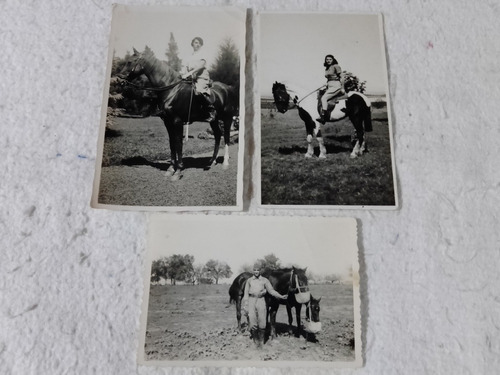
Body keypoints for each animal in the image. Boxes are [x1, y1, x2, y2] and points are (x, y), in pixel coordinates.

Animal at [120, 48, 238, 181]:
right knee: (218, 136)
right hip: (214, 120)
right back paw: (212, 161)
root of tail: (229, 88)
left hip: (227, 119)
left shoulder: (177, 122)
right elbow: (172, 144)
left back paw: (225, 163)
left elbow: (178, 144)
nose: (120, 79)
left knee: (226, 137)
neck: (171, 90)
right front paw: (171, 169)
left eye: (130, 62)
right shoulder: (168, 122)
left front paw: (178, 171)